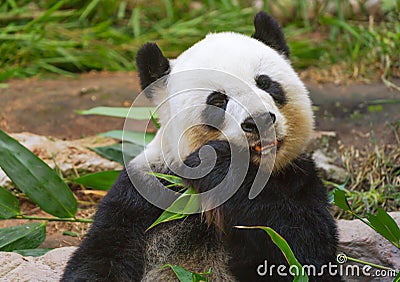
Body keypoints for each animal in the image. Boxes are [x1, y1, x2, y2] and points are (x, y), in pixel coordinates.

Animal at [62, 11, 340, 282]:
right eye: (217, 100)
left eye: (265, 83)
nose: (259, 120)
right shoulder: (146, 190)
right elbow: (102, 255)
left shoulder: (298, 176)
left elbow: (303, 247)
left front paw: (220, 164)